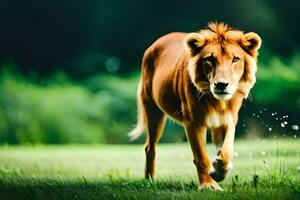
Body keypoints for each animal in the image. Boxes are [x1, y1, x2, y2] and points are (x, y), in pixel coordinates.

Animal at [128, 21, 260, 191]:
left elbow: (226, 151)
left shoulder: (228, 120)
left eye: (235, 59)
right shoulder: (193, 122)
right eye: (210, 59)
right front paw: (208, 185)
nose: (221, 85)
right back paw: (149, 180)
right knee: (150, 147)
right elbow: (201, 157)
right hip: (153, 111)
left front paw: (219, 170)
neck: (217, 101)